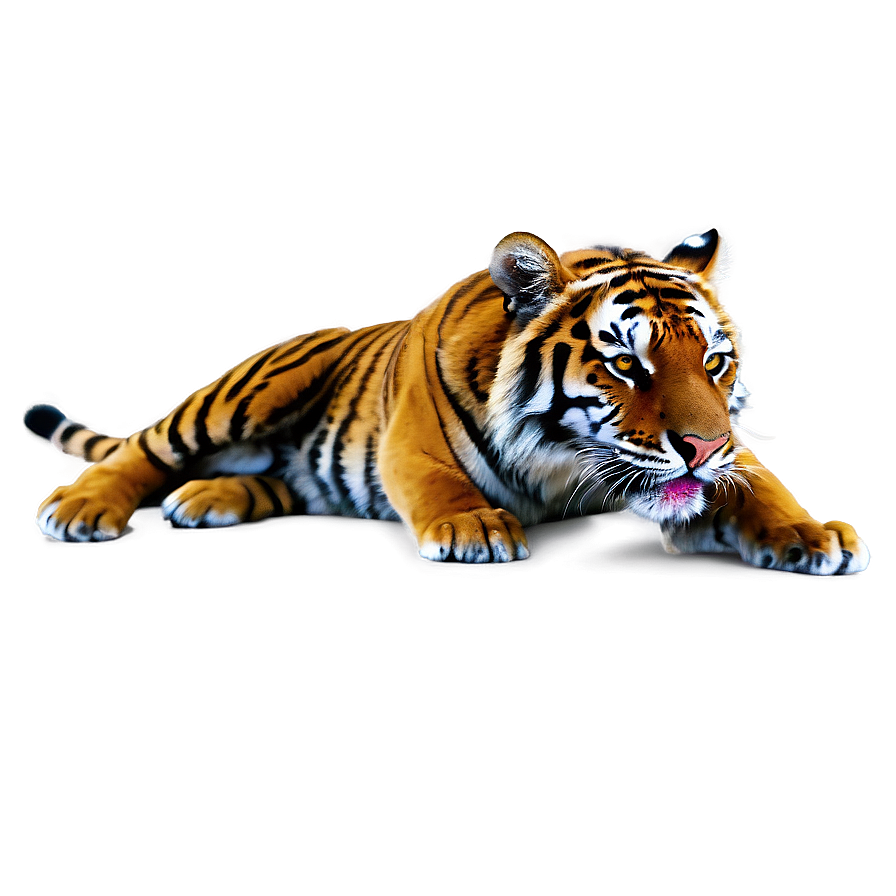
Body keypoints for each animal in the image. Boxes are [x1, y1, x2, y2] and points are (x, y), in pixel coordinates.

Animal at [24, 228, 869, 574]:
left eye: (716, 363)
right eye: (627, 363)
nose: (703, 446)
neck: (568, 462)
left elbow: (758, 487)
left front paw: (807, 533)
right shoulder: (413, 440)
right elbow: (439, 481)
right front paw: (475, 528)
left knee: (274, 482)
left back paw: (205, 499)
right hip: (253, 387)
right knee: (143, 451)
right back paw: (84, 509)